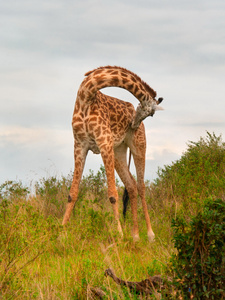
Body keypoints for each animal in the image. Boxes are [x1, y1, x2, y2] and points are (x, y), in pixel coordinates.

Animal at [62, 65, 163, 241]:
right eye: (152, 113)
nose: (132, 124)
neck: (86, 96)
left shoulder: (104, 142)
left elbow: (112, 193)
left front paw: (119, 234)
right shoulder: (79, 145)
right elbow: (72, 193)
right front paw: (61, 232)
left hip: (139, 146)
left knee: (141, 186)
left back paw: (150, 235)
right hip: (119, 152)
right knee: (131, 185)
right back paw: (135, 235)